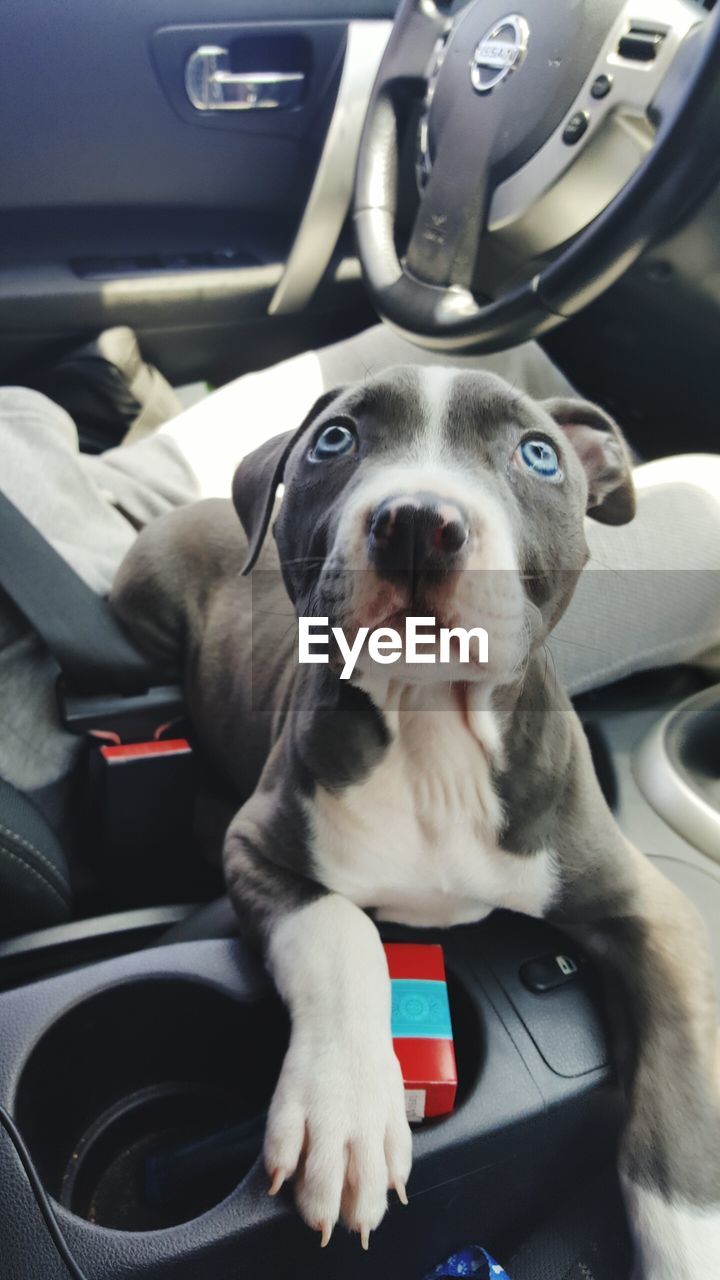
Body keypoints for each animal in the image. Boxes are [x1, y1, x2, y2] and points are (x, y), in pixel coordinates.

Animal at [112, 366, 717, 1274]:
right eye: (335, 439)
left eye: (538, 454)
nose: (420, 525)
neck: (433, 732)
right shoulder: (257, 846)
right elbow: (343, 934)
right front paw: (348, 1118)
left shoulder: (651, 909)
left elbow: (680, 1103)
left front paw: (690, 1243)